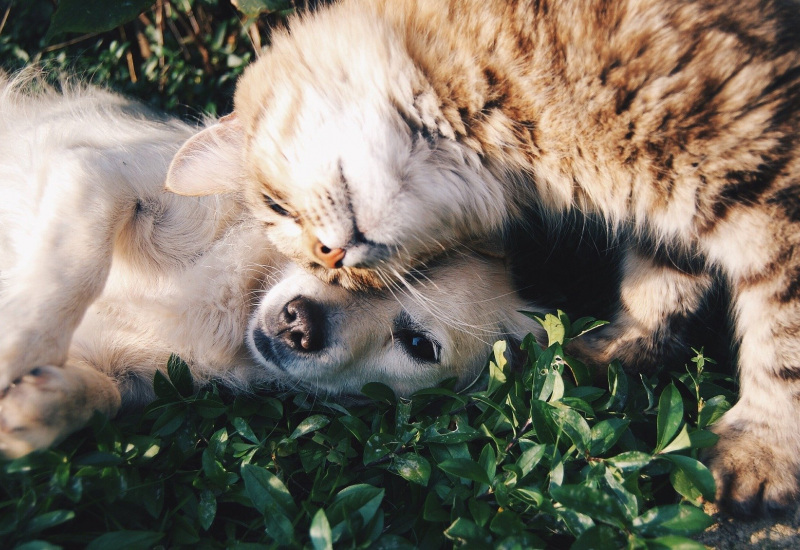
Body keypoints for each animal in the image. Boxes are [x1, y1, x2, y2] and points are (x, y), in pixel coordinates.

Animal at [0, 74, 544, 462]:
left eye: (418, 345)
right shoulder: (96, 173)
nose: (299, 324)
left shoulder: (138, 377)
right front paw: (16, 347)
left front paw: (39, 407)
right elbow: (72, 270)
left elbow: (106, 396)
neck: (237, 298)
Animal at [167, 0, 800, 520]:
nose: (333, 257)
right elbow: (659, 285)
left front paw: (761, 451)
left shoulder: (768, 183)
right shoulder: (671, 210)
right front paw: (617, 351)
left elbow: (782, 343)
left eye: (276, 206)